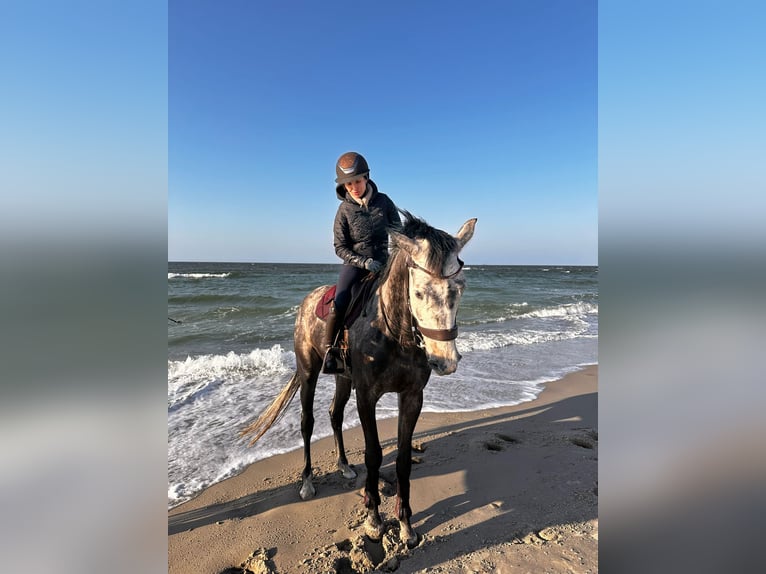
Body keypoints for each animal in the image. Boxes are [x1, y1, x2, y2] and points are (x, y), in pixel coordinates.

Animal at [240, 211, 476, 547]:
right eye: (418, 292)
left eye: (460, 287)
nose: (446, 361)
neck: (394, 333)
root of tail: (308, 300)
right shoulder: (367, 395)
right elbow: (374, 454)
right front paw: (374, 519)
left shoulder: (412, 396)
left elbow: (404, 459)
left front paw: (405, 524)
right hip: (309, 371)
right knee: (308, 421)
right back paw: (307, 482)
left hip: (343, 379)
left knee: (335, 414)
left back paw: (344, 466)